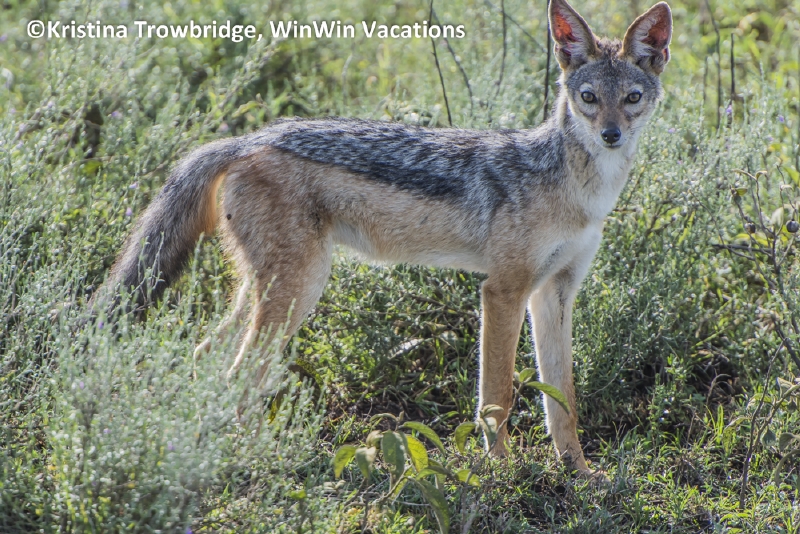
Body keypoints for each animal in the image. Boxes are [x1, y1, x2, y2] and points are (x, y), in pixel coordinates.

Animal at [93, 0, 672, 476]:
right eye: (589, 97)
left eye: (632, 98)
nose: (611, 135)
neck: (578, 192)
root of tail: (248, 137)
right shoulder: (502, 291)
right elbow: (498, 399)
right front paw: (503, 472)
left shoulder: (553, 292)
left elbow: (562, 400)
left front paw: (578, 473)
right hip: (300, 292)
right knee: (240, 373)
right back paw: (256, 457)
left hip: (269, 294)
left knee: (207, 353)